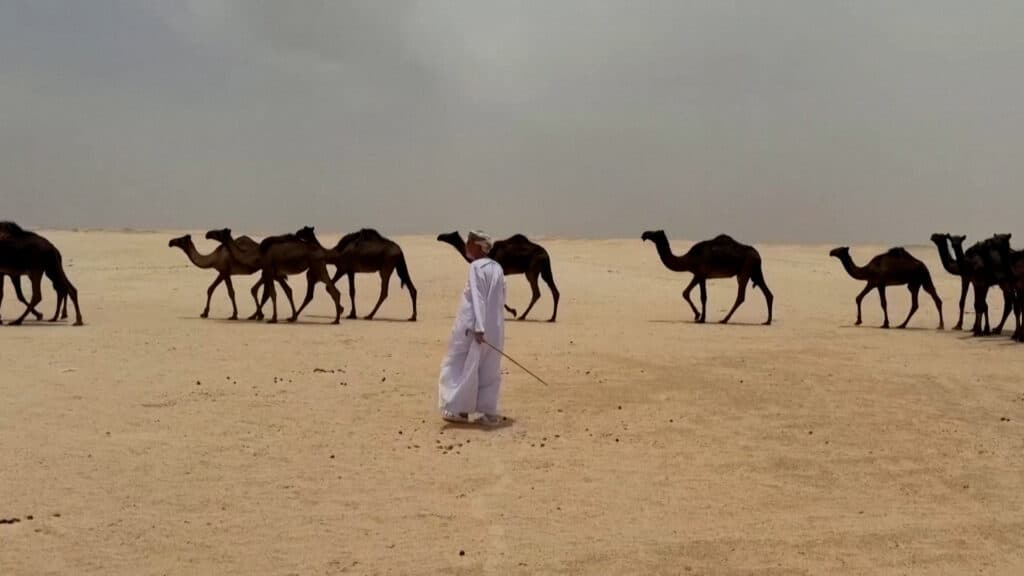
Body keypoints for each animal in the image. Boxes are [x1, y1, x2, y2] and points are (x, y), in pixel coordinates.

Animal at [638, 230, 774, 325]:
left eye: (655, 233)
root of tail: (758, 255)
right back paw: (767, 321)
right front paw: (698, 315)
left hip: (746, 268)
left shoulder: (701, 273)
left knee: (741, 296)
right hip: (754, 271)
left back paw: (724, 320)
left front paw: (701, 318)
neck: (688, 259)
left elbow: (703, 297)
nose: (644, 234)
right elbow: (686, 293)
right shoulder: (698, 274)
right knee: (768, 293)